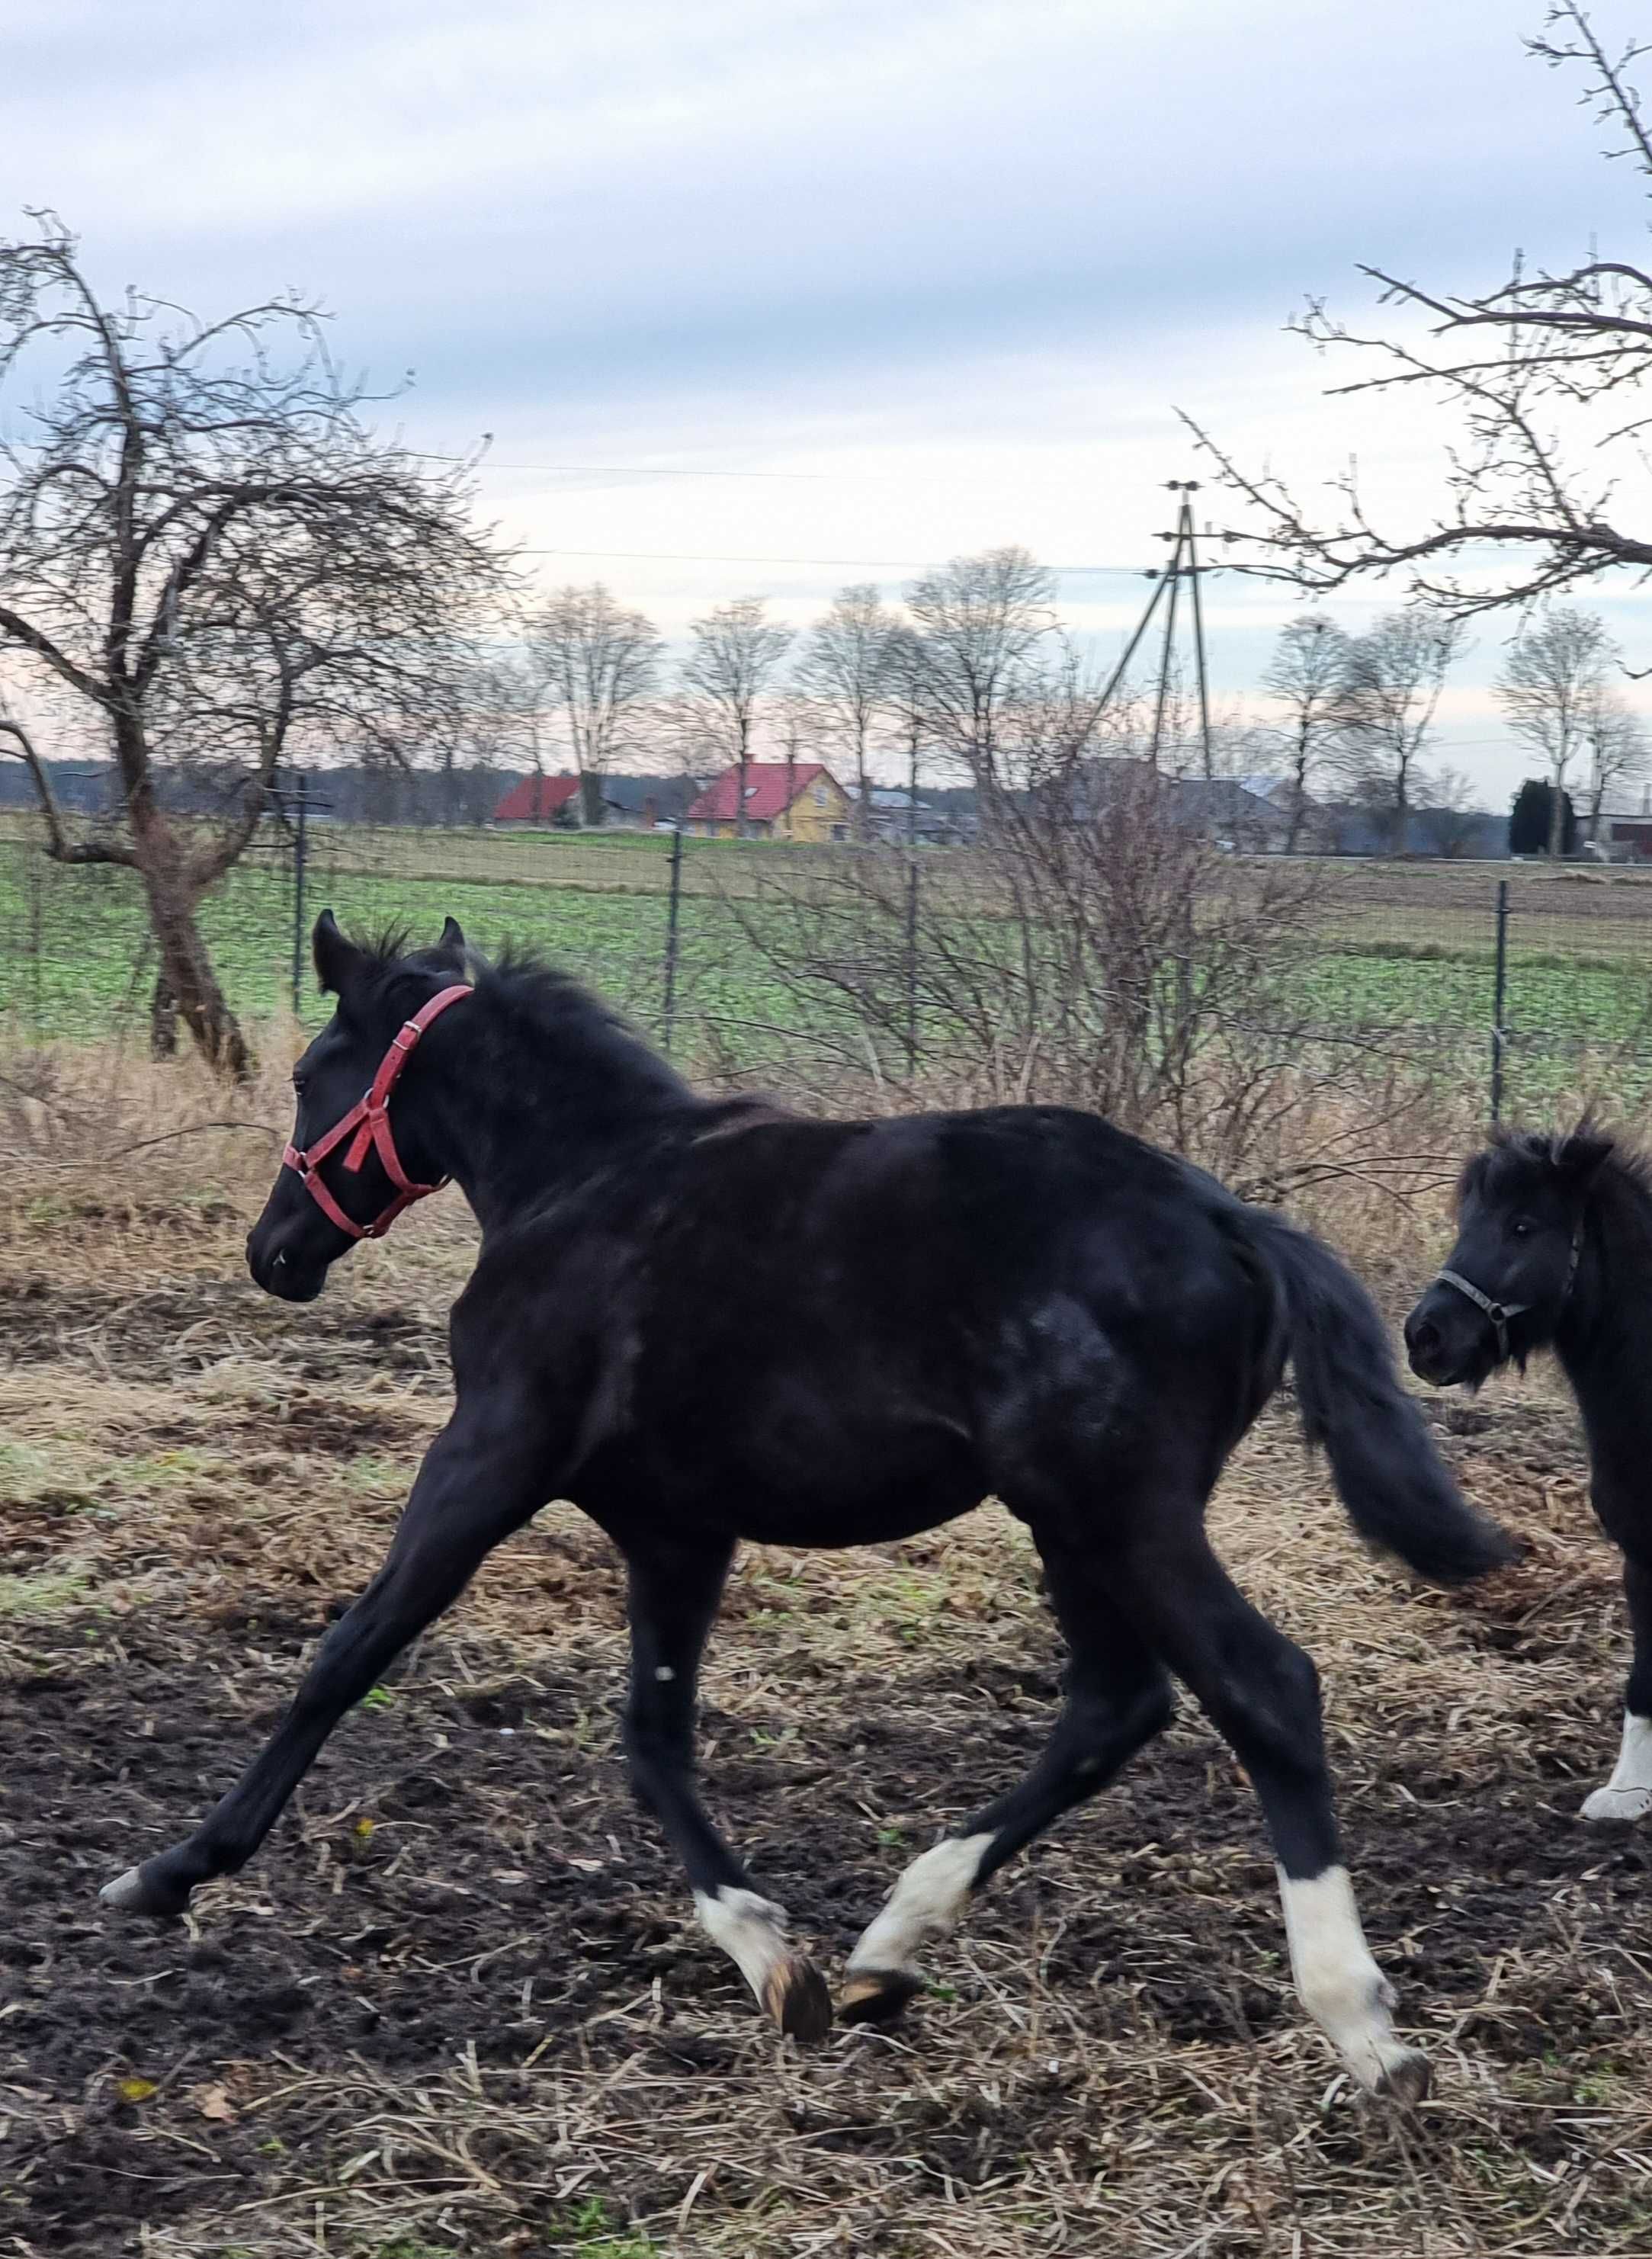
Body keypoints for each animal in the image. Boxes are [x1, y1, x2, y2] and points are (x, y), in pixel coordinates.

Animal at [103, 916, 1509, 2096]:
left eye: (311, 1074)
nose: (275, 1252)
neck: (584, 1181)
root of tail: (1228, 1217)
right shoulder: (675, 1525)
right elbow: (652, 1733)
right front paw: (776, 1960)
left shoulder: (487, 1458)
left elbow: (348, 1652)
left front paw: (169, 1870)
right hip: (1070, 1522)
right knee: (1115, 1705)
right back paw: (891, 1946)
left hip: (1116, 1511)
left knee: (1260, 1686)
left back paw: (1359, 2022)